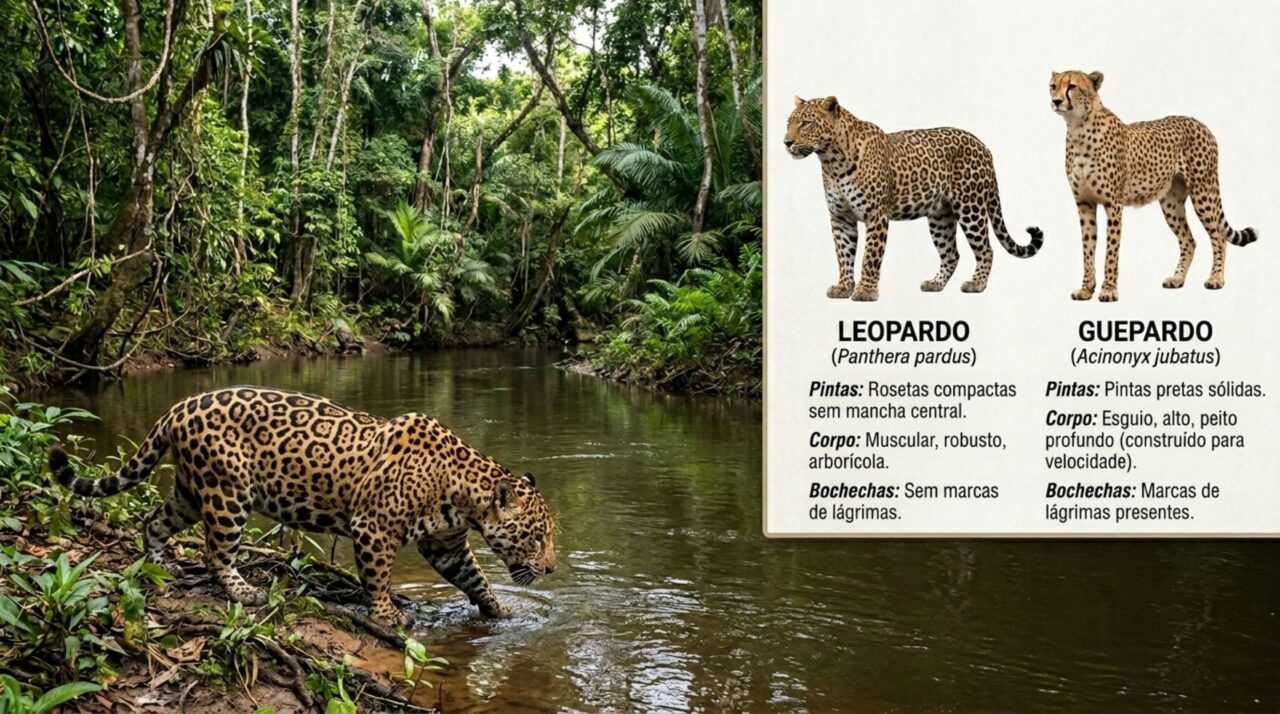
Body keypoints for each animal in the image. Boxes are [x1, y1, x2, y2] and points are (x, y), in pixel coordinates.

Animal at [48, 386, 556, 626]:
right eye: (536, 537)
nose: (551, 569)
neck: (462, 490)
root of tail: (178, 406)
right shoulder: (373, 528)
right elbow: (378, 578)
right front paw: (388, 615)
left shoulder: (446, 543)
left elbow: (475, 577)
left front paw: (502, 610)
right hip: (227, 492)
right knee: (217, 552)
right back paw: (244, 591)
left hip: (191, 492)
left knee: (154, 521)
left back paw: (158, 565)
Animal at [783, 95, 1043, 301]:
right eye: (789, 123)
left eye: (806, 123)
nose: (786, 142)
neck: (832, 162)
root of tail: (983, 146)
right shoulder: (840, 218)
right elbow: (844, 255)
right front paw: (843, 287)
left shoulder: (876, 216)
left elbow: (870, 256)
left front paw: (866, 291)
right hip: (940, 217)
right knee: (951, 254)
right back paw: (935, 283)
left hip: (970, 206)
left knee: (986, 249)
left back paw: (977, 284)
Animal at [1050, 70, 1258, 302]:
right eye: (1053, 86)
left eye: (1072, 86)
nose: (1056, 101)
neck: (1078, 128)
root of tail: (1199, 122)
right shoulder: (1084, 203)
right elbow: (1088, 249)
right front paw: (1086, 289)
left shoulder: (1113, 204)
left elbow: (1111, 251)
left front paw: (1108, 290)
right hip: (1171, 203)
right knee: (1189, 241)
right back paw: (1177, 279)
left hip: (1203, 191)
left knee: (1219, 237)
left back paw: (1216, 279)